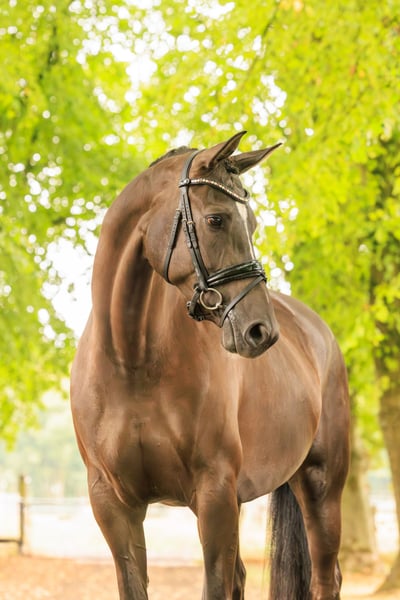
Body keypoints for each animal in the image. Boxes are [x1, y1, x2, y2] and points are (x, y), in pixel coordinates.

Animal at [70, 131, 350, 600]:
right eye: (217, 219)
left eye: (251, 224)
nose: (261, 331)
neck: (132, 361)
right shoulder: (113, 505)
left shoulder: (214, 495)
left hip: (322, 486)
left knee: (326, 578)